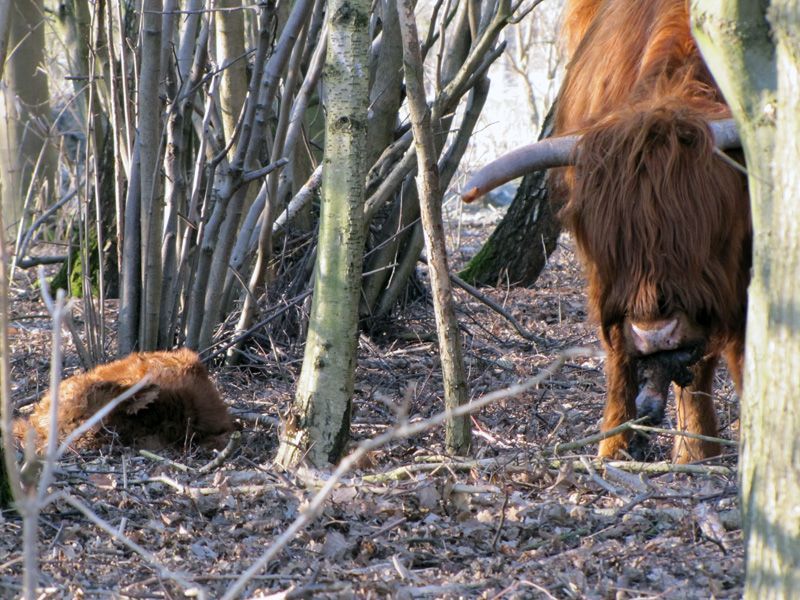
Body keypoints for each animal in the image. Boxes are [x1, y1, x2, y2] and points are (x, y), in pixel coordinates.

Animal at [552, 0, 752, 462]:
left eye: (706, 236)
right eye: (613, 244)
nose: (655, 333)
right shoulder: (604, 277)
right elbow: (618, 355)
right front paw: (614, 447)